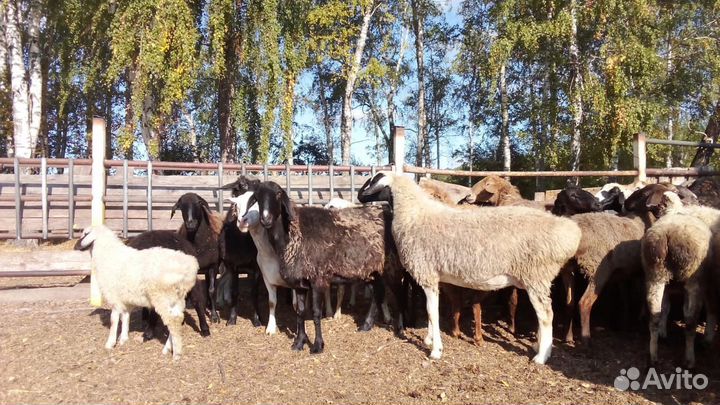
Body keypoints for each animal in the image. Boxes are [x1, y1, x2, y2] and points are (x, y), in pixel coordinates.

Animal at [74, 224, 199, 360]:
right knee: (178, 318)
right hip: (177, 298)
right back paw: (167, 348)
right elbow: (125, 317)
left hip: (162, 297)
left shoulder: (114, 297)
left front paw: (110, 343)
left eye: (85, 234)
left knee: (173, 320)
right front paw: (123, 339)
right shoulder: (125, 299)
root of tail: (189, 266)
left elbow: (113, 320)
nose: (75, 246)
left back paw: (176, 354)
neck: (108, 254)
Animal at [231, 180, 404, 353]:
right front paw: (299, 342)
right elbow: (300, 312)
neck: (293, 233)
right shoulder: (299, 283)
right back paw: (366, 325)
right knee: (378, 294)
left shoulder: (317, 279)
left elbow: (316, 313)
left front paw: (318, 345)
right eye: (258, 197)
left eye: (278, 194)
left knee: (397, 293)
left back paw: (400, 329)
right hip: (374, 270)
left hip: (392, 266)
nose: (266, 219)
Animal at [361, 172, 582, 363]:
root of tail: (570, 233)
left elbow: (432, 311)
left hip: (537, 276)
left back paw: (541, 357)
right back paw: (539, 348)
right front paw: (430, 339)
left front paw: (436, 351)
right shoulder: (433, 276)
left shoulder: (427, 274)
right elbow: (431, 311)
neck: (415, 214)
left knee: (546, 316)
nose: (359, 196)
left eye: (372, 181)